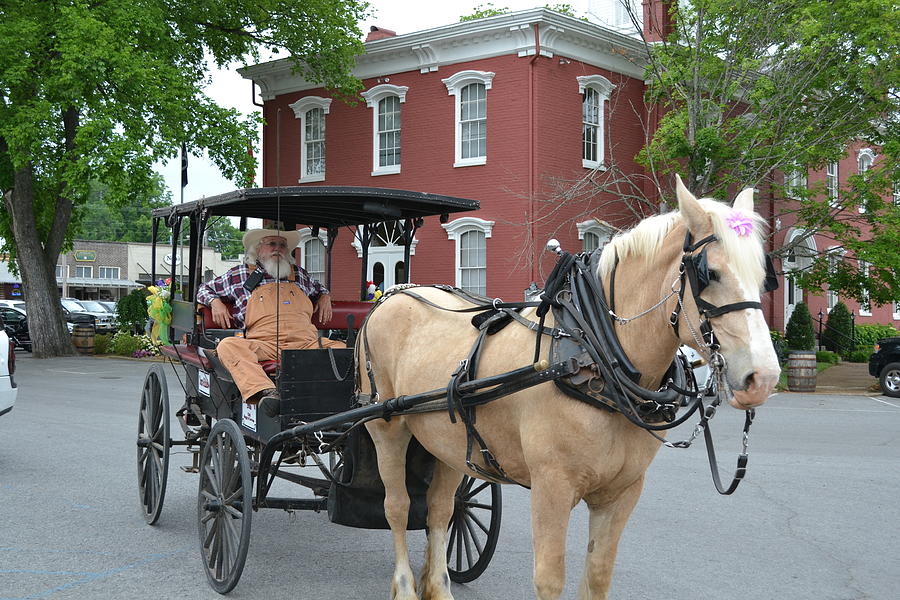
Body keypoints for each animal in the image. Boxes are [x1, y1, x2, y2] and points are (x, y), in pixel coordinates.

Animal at [358, 178, 780, 600]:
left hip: (444, 441)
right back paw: (405, 586)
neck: (593, 352)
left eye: (765, 276)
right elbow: (549, 578)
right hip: (386, 428)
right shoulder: (551, 487)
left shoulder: (622, 492)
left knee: (440, 509)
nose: (764, 377)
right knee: (397, 507)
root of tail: (395, 293)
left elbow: (597, 575)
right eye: (710, 273)